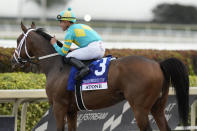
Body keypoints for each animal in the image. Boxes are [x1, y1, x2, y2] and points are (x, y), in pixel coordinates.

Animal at [11, 22, 189, 130]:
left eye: (18, 40)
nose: (13, 60)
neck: (56, 65)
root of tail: (158, 64)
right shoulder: (72, 109)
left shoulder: (59, 106)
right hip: (157, 106)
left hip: (140, 108)